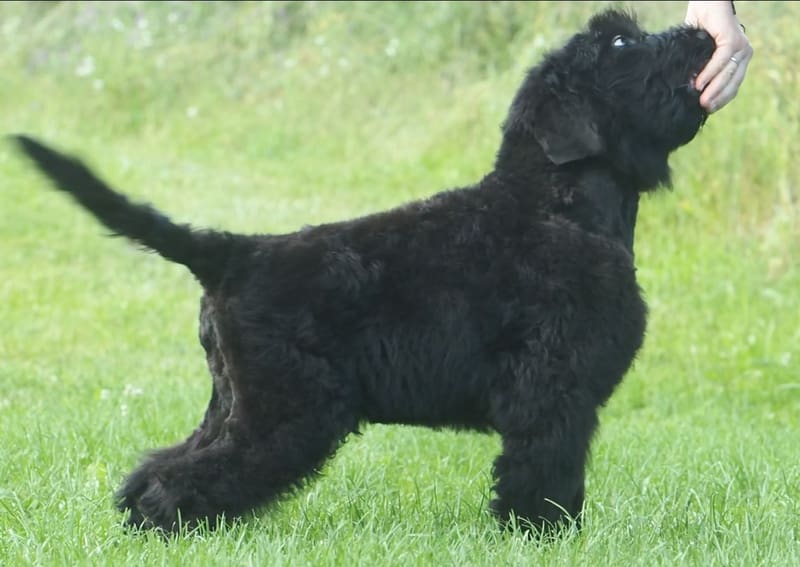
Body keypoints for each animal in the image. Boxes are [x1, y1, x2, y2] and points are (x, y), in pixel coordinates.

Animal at [10, 8, 712, 536]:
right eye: (620, 42)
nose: (704, 34)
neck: (554, 202)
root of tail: (234, 253)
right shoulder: (550, 392)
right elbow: (543, 475)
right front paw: (544, 536)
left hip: (235, 399)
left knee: (160, 465)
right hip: (286, 411)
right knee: (184, 481)